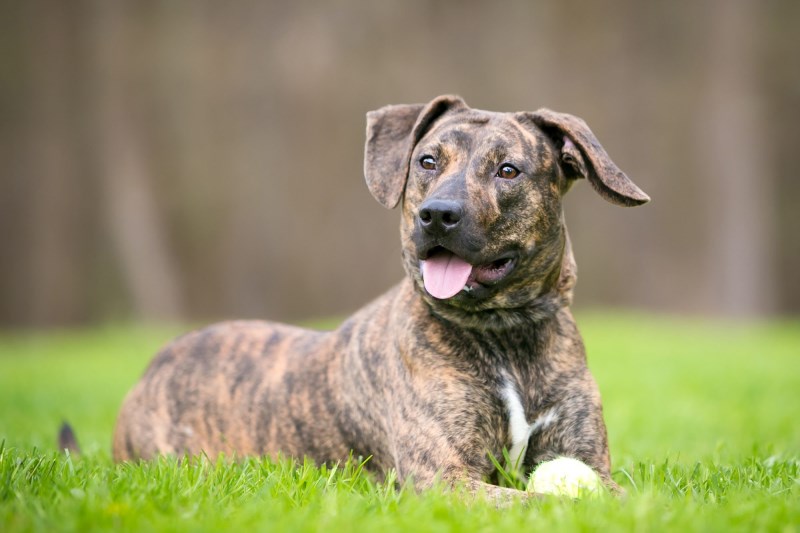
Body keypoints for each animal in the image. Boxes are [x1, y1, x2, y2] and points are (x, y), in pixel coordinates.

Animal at [111, 95, 648, 498]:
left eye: (508, 170)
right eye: (427, 161)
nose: (436, 214)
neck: (506, 337)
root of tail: (155, 362)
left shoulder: (589, 458)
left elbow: (625, 494)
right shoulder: (445, 479)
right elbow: (534, 500)